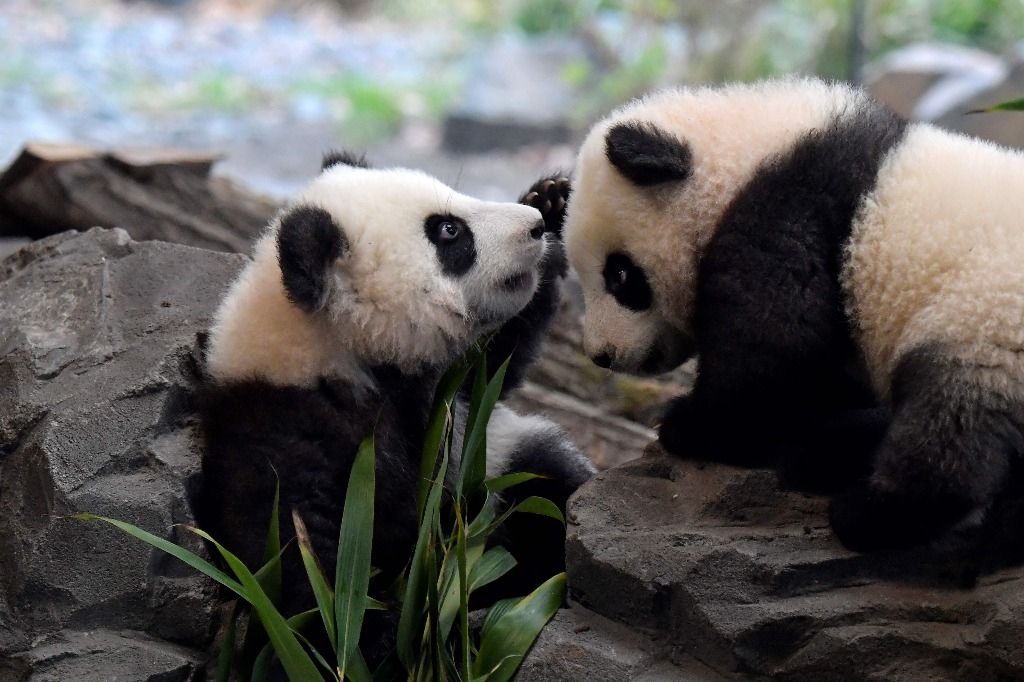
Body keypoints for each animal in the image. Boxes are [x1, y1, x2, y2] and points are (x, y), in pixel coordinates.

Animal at [197, 151, 594, 662]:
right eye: (448, 231)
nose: (533, 227)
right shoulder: (285, 429)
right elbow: (304, 559)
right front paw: (393, 637)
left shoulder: (450, 401)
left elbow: (500, 361)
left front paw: (551, 199)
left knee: (546, 491)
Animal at [531, 77, 1024, 554]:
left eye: (620, 276)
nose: (602, 355)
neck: (739, 157)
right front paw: (548, 199)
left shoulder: (787, 213)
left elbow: (774, 352)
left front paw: (686, 424)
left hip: (980, 320)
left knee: (950, 429)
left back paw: (868, 512)